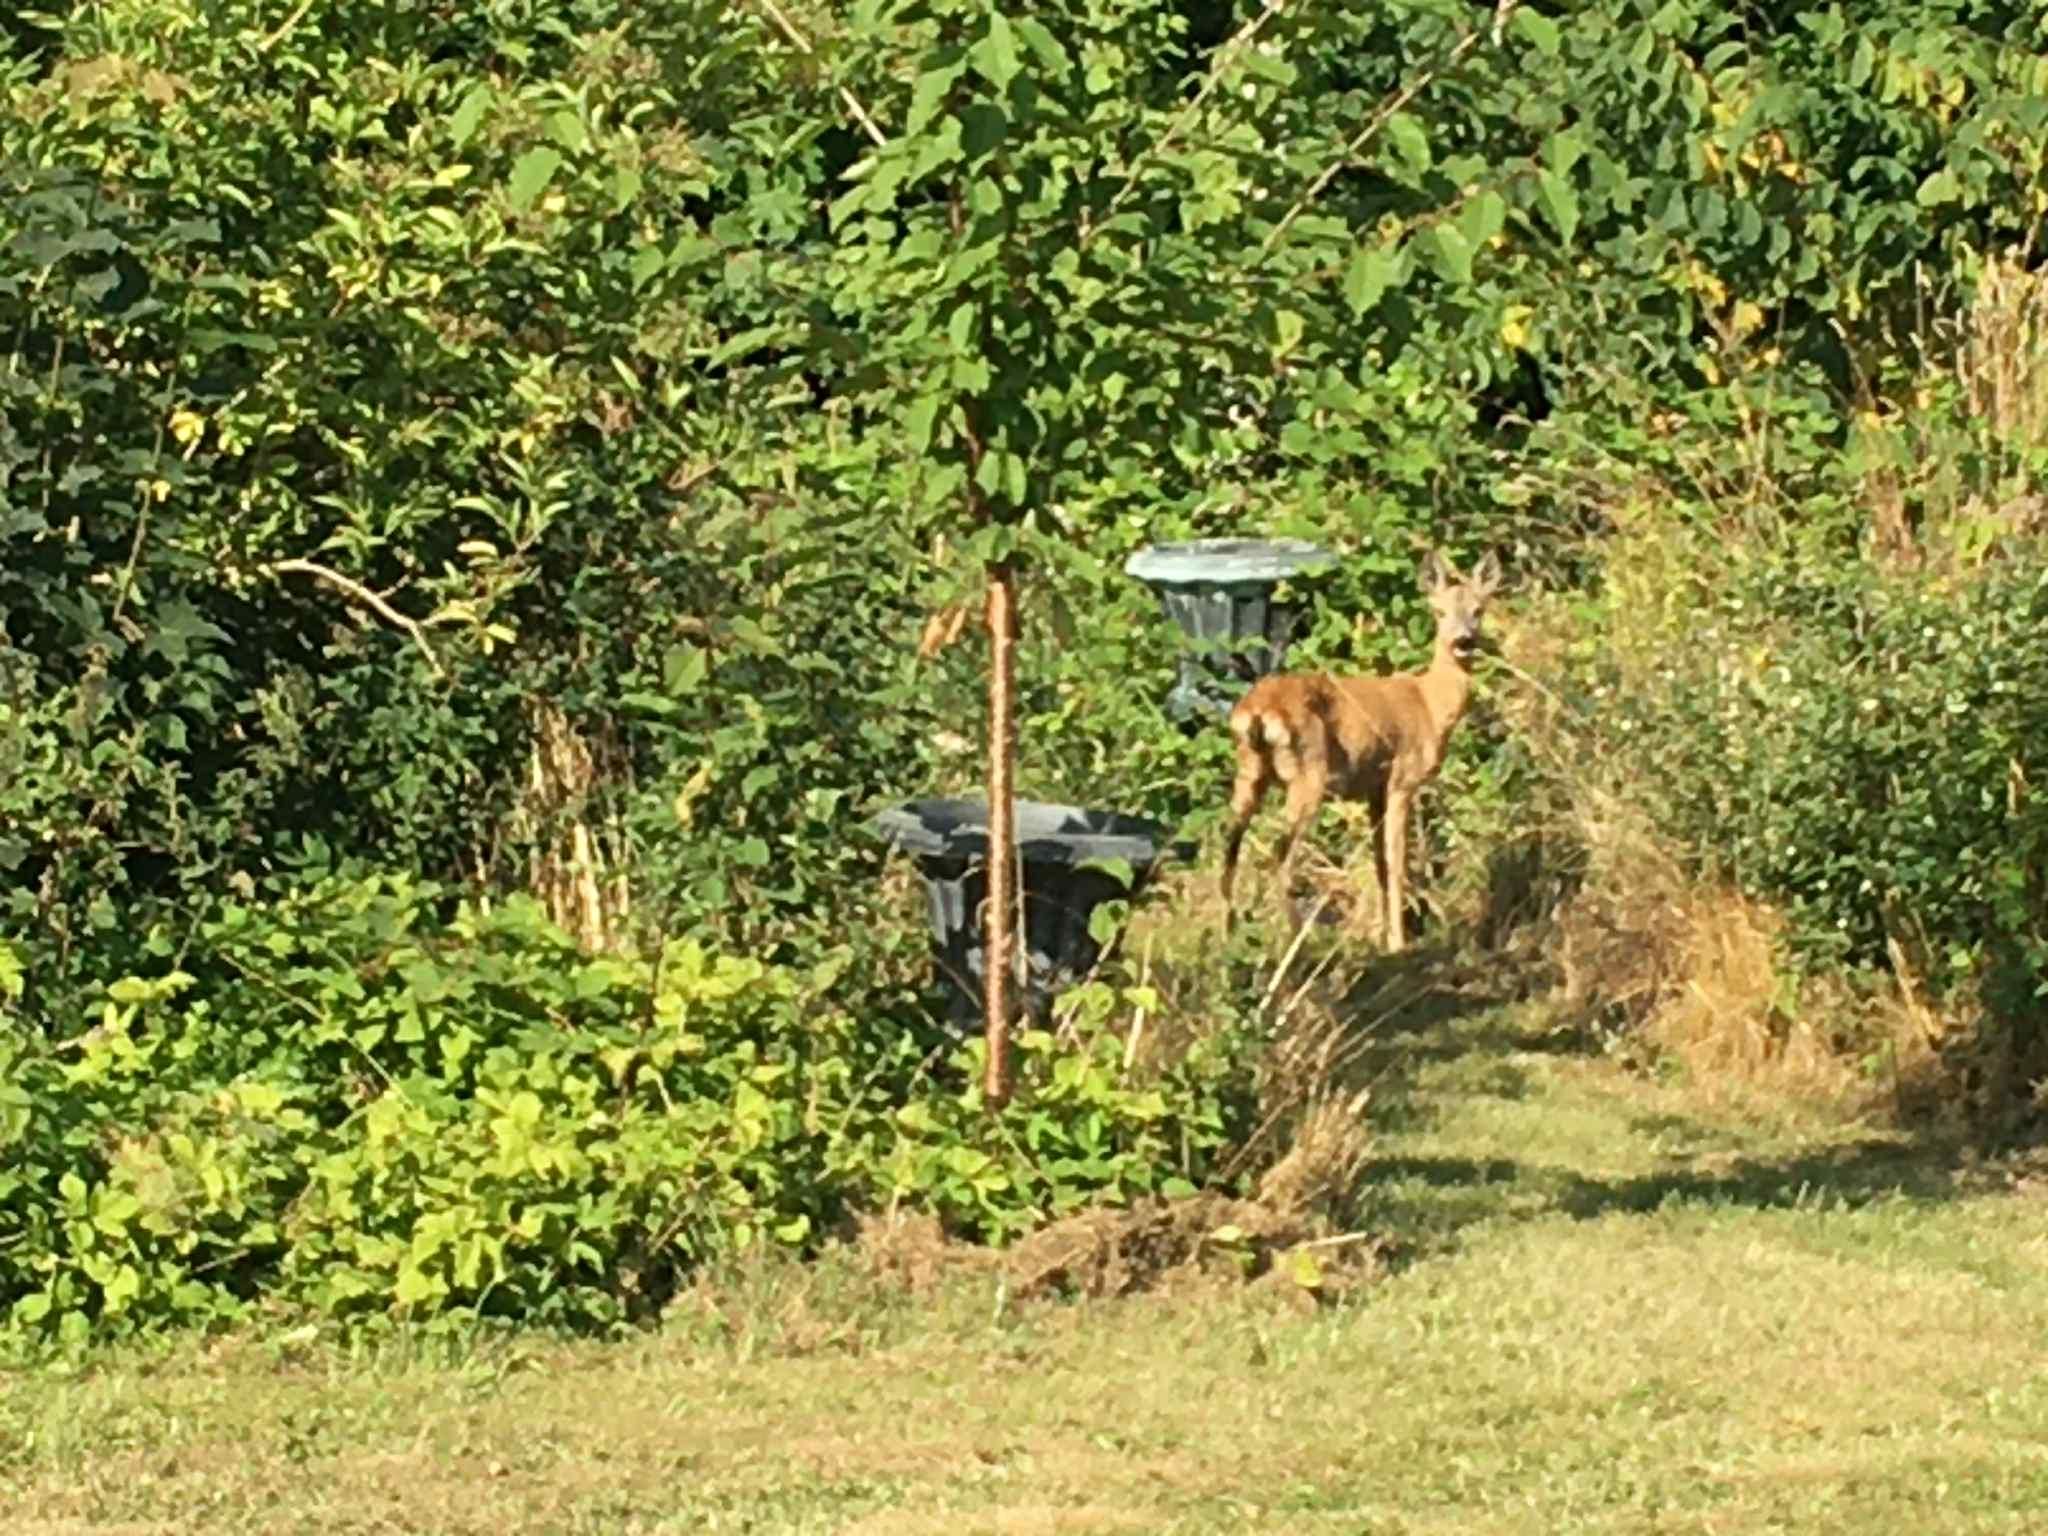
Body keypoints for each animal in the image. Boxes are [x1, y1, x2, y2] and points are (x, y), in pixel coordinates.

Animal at [1219, 547, 1503, 950]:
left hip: (1249, 770)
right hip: (1309, 772)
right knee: (1281, 855)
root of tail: (1258, 710)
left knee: (1230, 845)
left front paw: (1385, 937)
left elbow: (1381, 863)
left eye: (1479, 609)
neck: (1430, 704)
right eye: (1439, 612)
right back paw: (1297, 943)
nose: (1462, 640)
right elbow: (1397, 861)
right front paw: (1398, 941)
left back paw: (1228, 938)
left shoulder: (1373, 789)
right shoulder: (1402, 778)